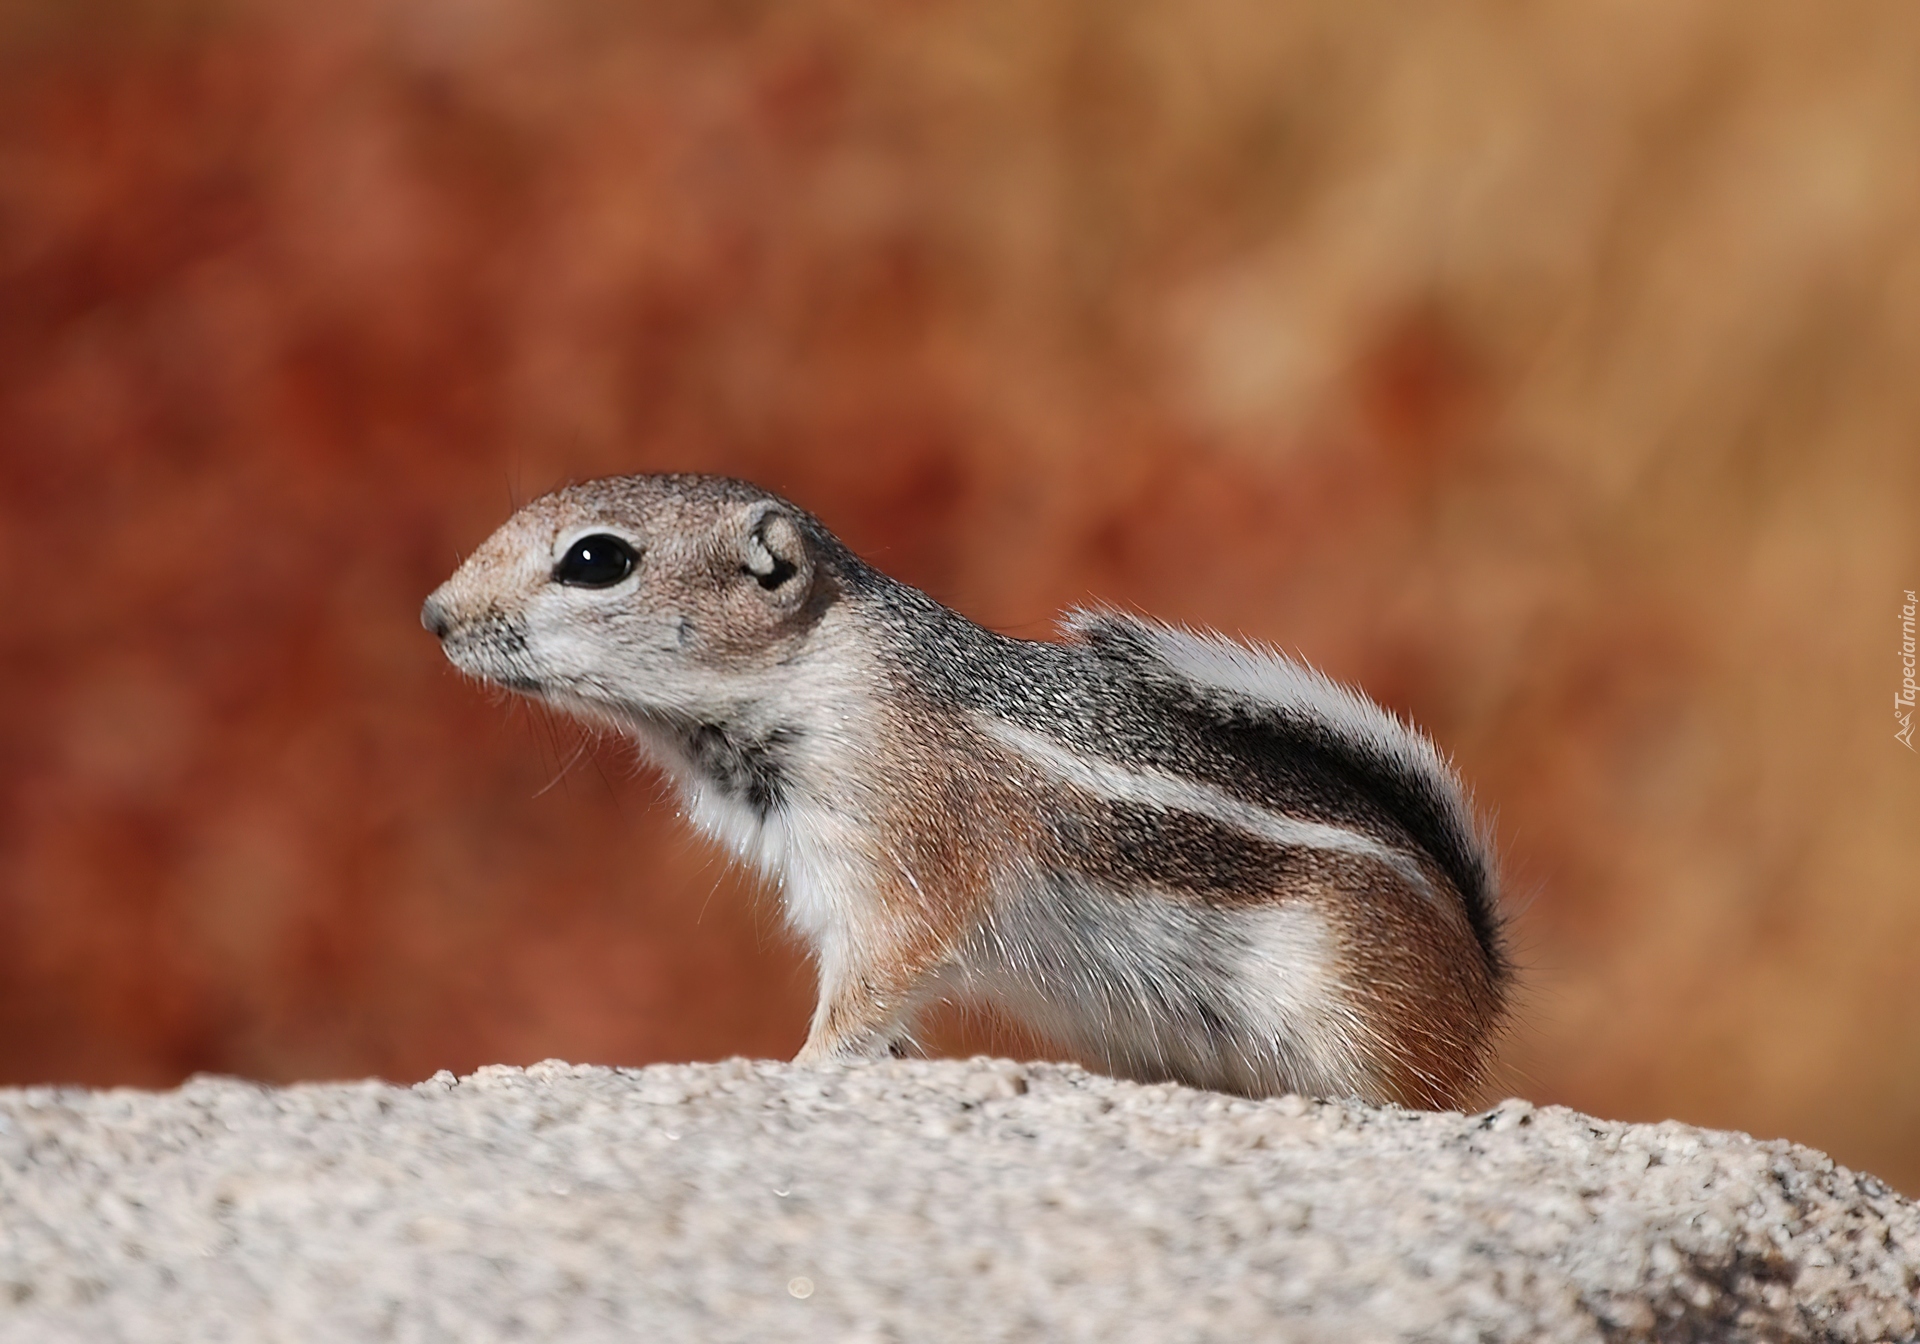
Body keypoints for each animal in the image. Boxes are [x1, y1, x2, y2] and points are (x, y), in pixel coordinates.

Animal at [424, 478, 1512, 1105]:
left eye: (595, 560)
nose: (434, 615)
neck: (818, 670)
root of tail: (1484, 983)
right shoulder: (826, 884)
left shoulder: (904, 855)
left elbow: (872, 985)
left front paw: (803, 1069)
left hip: (1349, 1007)